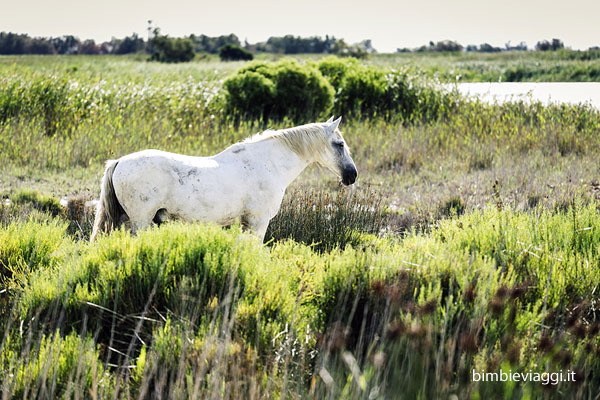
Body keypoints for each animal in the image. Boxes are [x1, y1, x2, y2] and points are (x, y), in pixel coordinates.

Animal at [90, 116, 357, 242]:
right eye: (339, 144)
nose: (352, 175)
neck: (268, 163)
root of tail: (120, 161)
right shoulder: (258, 222)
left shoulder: (246, 223)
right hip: (140, 221)